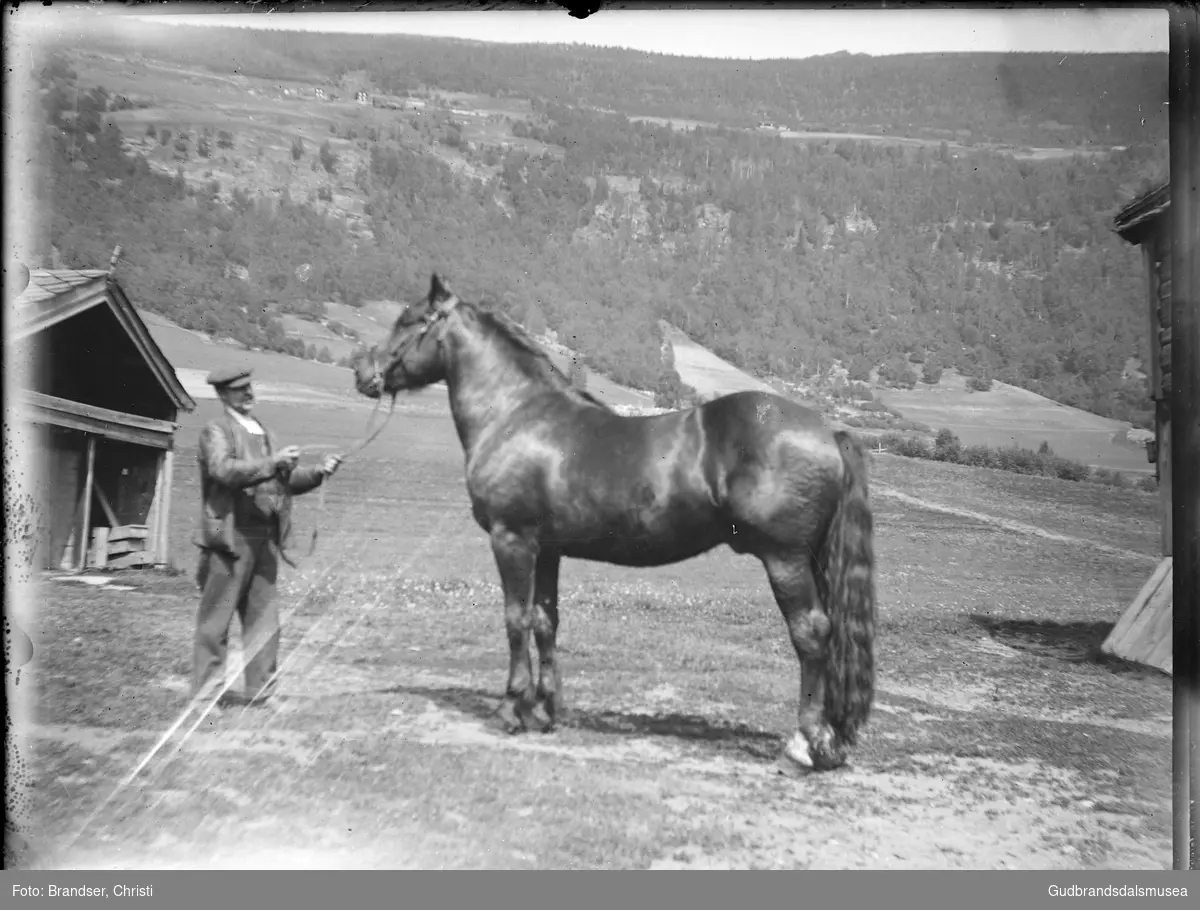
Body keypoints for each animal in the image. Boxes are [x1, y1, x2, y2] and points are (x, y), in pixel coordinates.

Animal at [350, 274, 878, 773]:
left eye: (407, 320)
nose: (362, 371)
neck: (517, 416)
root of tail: (828, 430)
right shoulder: (548, 549)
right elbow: (545, 621)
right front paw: (543, 712)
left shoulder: (512, 540)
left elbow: (515, 620)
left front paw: (508, 711)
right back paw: (826, 743)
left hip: (785, 560)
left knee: (811, 634)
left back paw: (801, 748)